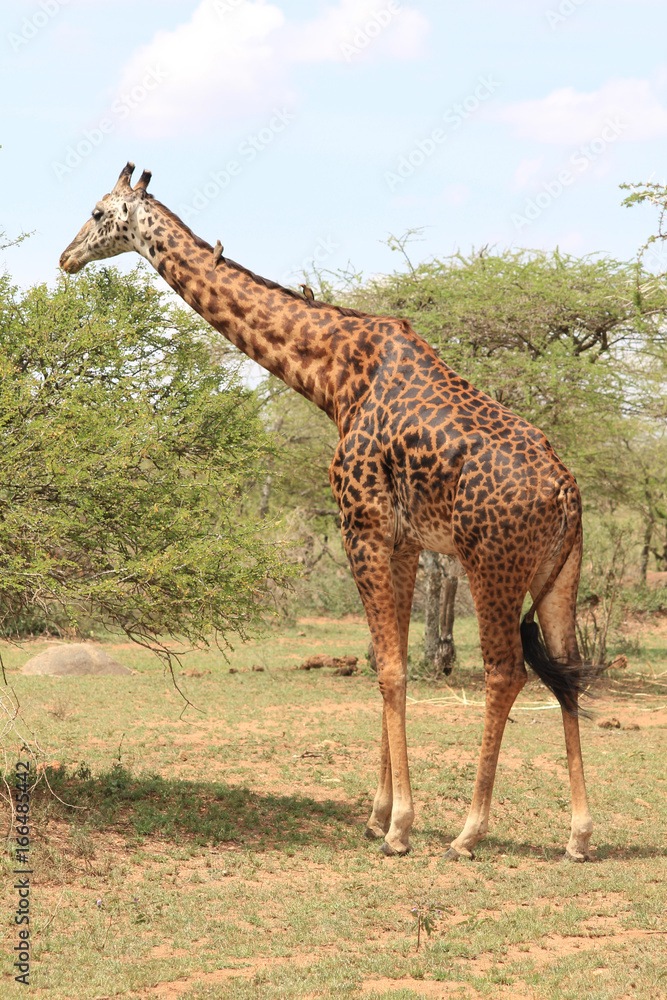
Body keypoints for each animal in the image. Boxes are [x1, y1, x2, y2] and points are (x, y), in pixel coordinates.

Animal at [60, 163, 593, 861]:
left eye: (98, 213)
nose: (65, 258)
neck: (334, 376)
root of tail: (564, 494)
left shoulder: (359, 523)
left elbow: (389, 666)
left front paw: (399, 827)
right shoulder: (403, 540)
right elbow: (390, 661)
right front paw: (378, 814)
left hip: (491, 565)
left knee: (506, 672)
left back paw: (469, 831)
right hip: (561, 572)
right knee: (569, 673)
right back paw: (579, 835)